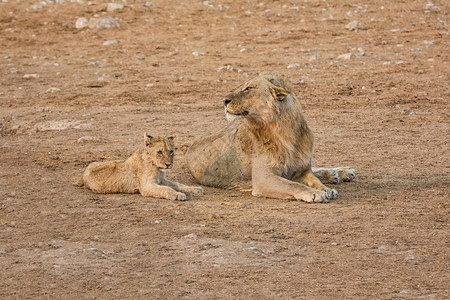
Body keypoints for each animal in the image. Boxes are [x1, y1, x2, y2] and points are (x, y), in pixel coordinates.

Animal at [185, 73, 356, 203]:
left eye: (248, 88)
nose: (224, 101)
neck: (285, 130)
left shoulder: (302, 170)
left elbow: (314, 179)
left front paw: (326, 189)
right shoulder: (262, 179)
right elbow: (293, 185)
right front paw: (316, 193)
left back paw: (341, 172)